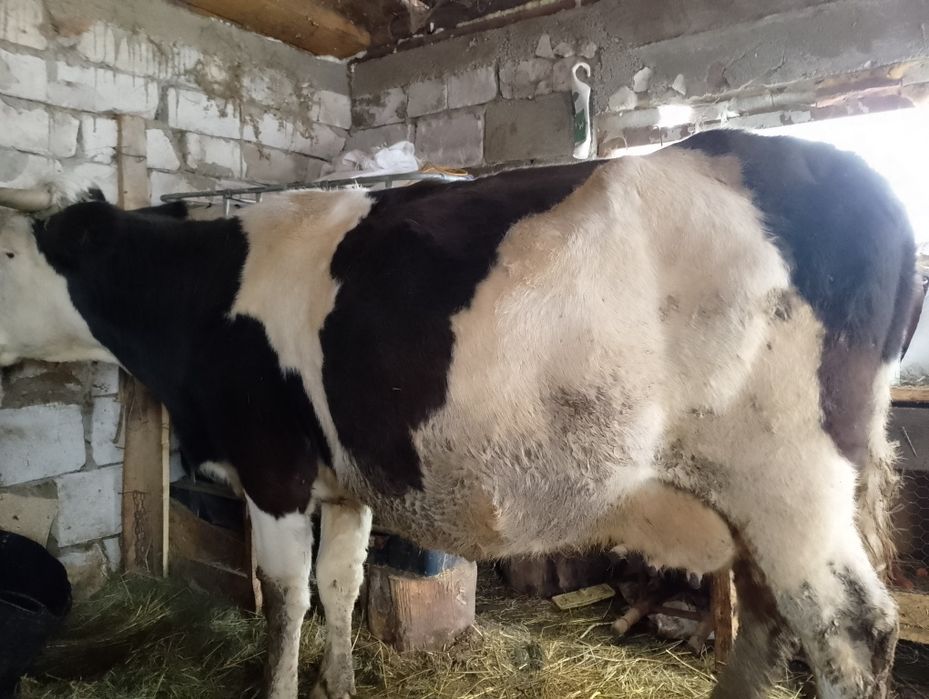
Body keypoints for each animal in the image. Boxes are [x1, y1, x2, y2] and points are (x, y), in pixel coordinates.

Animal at [0, 129, 917, 699]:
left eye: (3, 251)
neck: (209, 293)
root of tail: (854, 175)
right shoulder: (344, 477)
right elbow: (338, 586)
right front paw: (338, 683)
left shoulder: (272, 464)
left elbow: (286, 596)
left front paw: (283, 683)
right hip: (757, 503)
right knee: (768, 618)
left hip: (791, 481)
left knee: (850, 631)